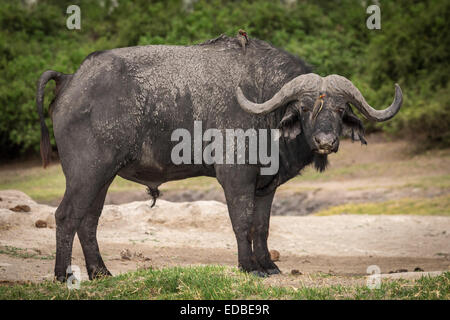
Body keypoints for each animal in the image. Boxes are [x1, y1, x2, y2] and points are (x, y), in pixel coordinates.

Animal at [35, 34, 400, 280]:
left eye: (339, 109)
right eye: (305, 107)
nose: (325, 141)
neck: (264, 104)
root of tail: (70, 80)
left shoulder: (266, 185)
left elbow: (262, 226)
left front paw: (268, 265)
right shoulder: (236, 177)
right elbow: (242, 222)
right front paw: (249, 267)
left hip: (103, 176)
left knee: (89, 220)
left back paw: (101, 272)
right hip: (87, 173)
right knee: (66, 215)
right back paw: (63, 275)